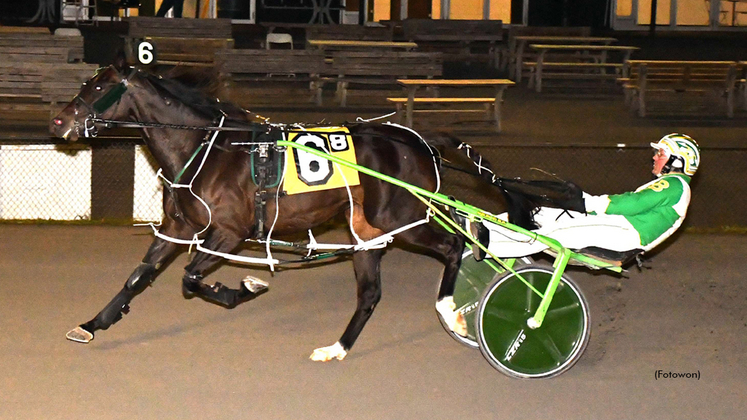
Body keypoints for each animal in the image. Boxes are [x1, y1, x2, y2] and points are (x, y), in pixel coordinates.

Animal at [49, 59, 500, 360]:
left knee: (454, 245)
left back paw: (453, 311)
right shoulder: (179, 227)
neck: (208, 149)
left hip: (402, 218)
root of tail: (417, 140)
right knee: (371, 292)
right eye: (87, 83)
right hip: (367, 230)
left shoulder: (229, 232)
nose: (58, 122)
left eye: (98, 88)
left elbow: (192, 278)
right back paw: (336, 348)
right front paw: (92, 325)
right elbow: (139, 276)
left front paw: (245, 288)